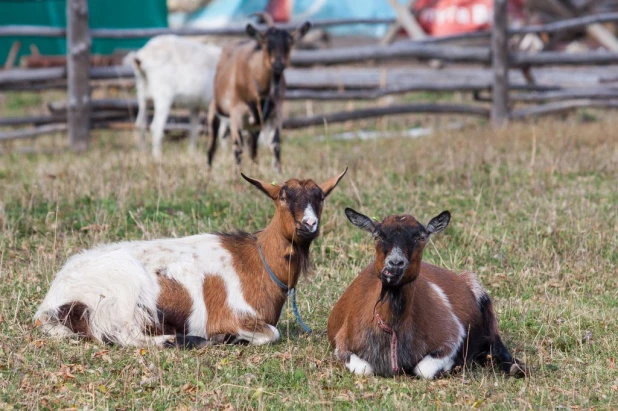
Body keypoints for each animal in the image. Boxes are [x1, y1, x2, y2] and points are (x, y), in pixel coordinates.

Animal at [35, 170, 346, 348]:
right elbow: (272, 333)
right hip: (123, 294)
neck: (256, 262)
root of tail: (52, 302)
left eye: (320, 197)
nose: (309, 224)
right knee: (125, 336)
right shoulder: (234, 316)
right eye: (283, 196)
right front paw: (226, 338)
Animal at [207, 12, 310, 171]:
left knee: (253, 148)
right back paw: (209, 173)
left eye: (289, 43)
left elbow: (276, 144)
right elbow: (237, 147)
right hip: (215, 111)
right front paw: (237, 174)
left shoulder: (276, 111)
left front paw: (278, 172)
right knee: (212, 146)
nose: (278, 65)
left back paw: (255, 169)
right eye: (266, 43)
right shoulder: (236, 113)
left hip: (254, 126)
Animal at [324, 209, 524, 380]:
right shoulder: (342, 344)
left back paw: (513, 367)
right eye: (378, 235)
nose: (394, 265)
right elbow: (364, 368)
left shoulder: (451, 335)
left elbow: (424, 369)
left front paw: (457, 363)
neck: (392, 329)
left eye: (420, 237)